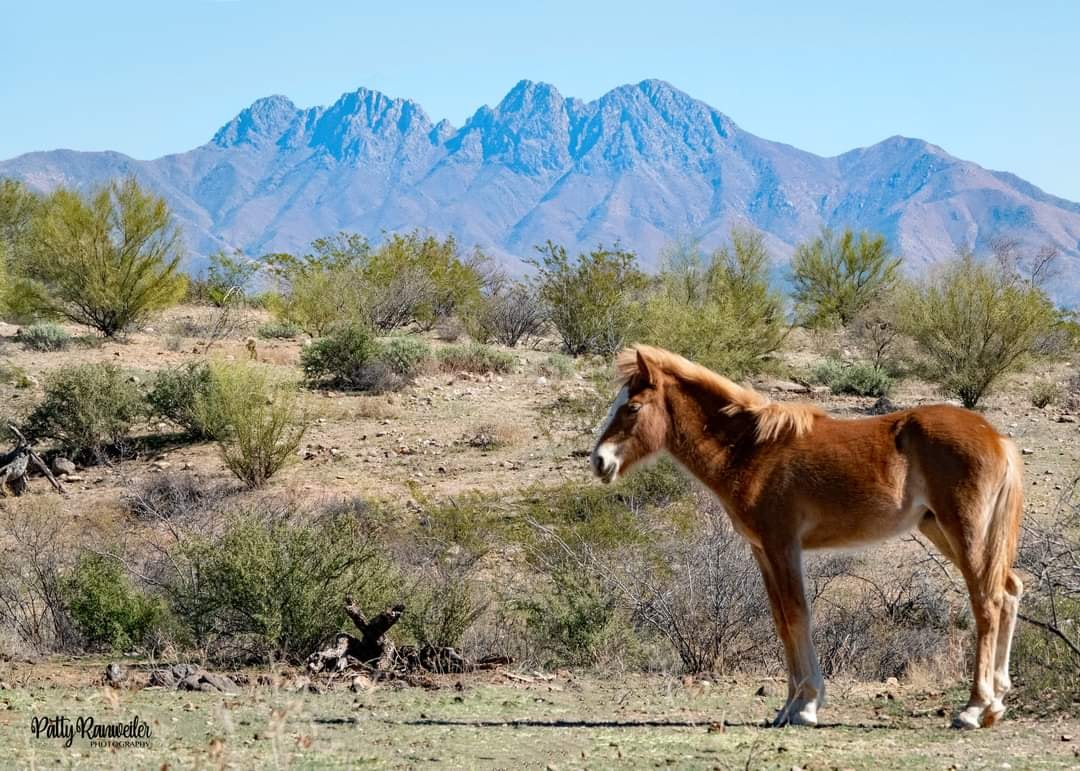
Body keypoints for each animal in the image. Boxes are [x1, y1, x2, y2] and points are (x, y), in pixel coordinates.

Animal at [590, 345, 1024, 729]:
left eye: (632, 407)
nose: (599, 461)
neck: (751, 449)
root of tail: (998, 438)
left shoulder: (783, 544)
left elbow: (797, 614)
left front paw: (806, 706)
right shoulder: (762, 549)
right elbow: (782, 619)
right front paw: (788, 707)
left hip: (964, 531)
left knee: (987, 602)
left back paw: (973, 709)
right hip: (941, 530)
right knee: (1009, 591)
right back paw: (996, 702)